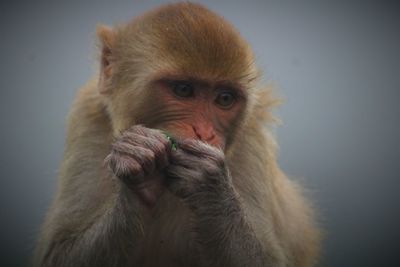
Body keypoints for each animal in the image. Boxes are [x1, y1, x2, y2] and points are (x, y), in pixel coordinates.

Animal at [35, 2, 318, 267]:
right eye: (183, 90)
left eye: (224, 98)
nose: (204, 132)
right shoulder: (87, 116)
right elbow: (60, 251)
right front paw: (138, 172)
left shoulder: (251, 137)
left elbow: (265, 259)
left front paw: (210, 188)